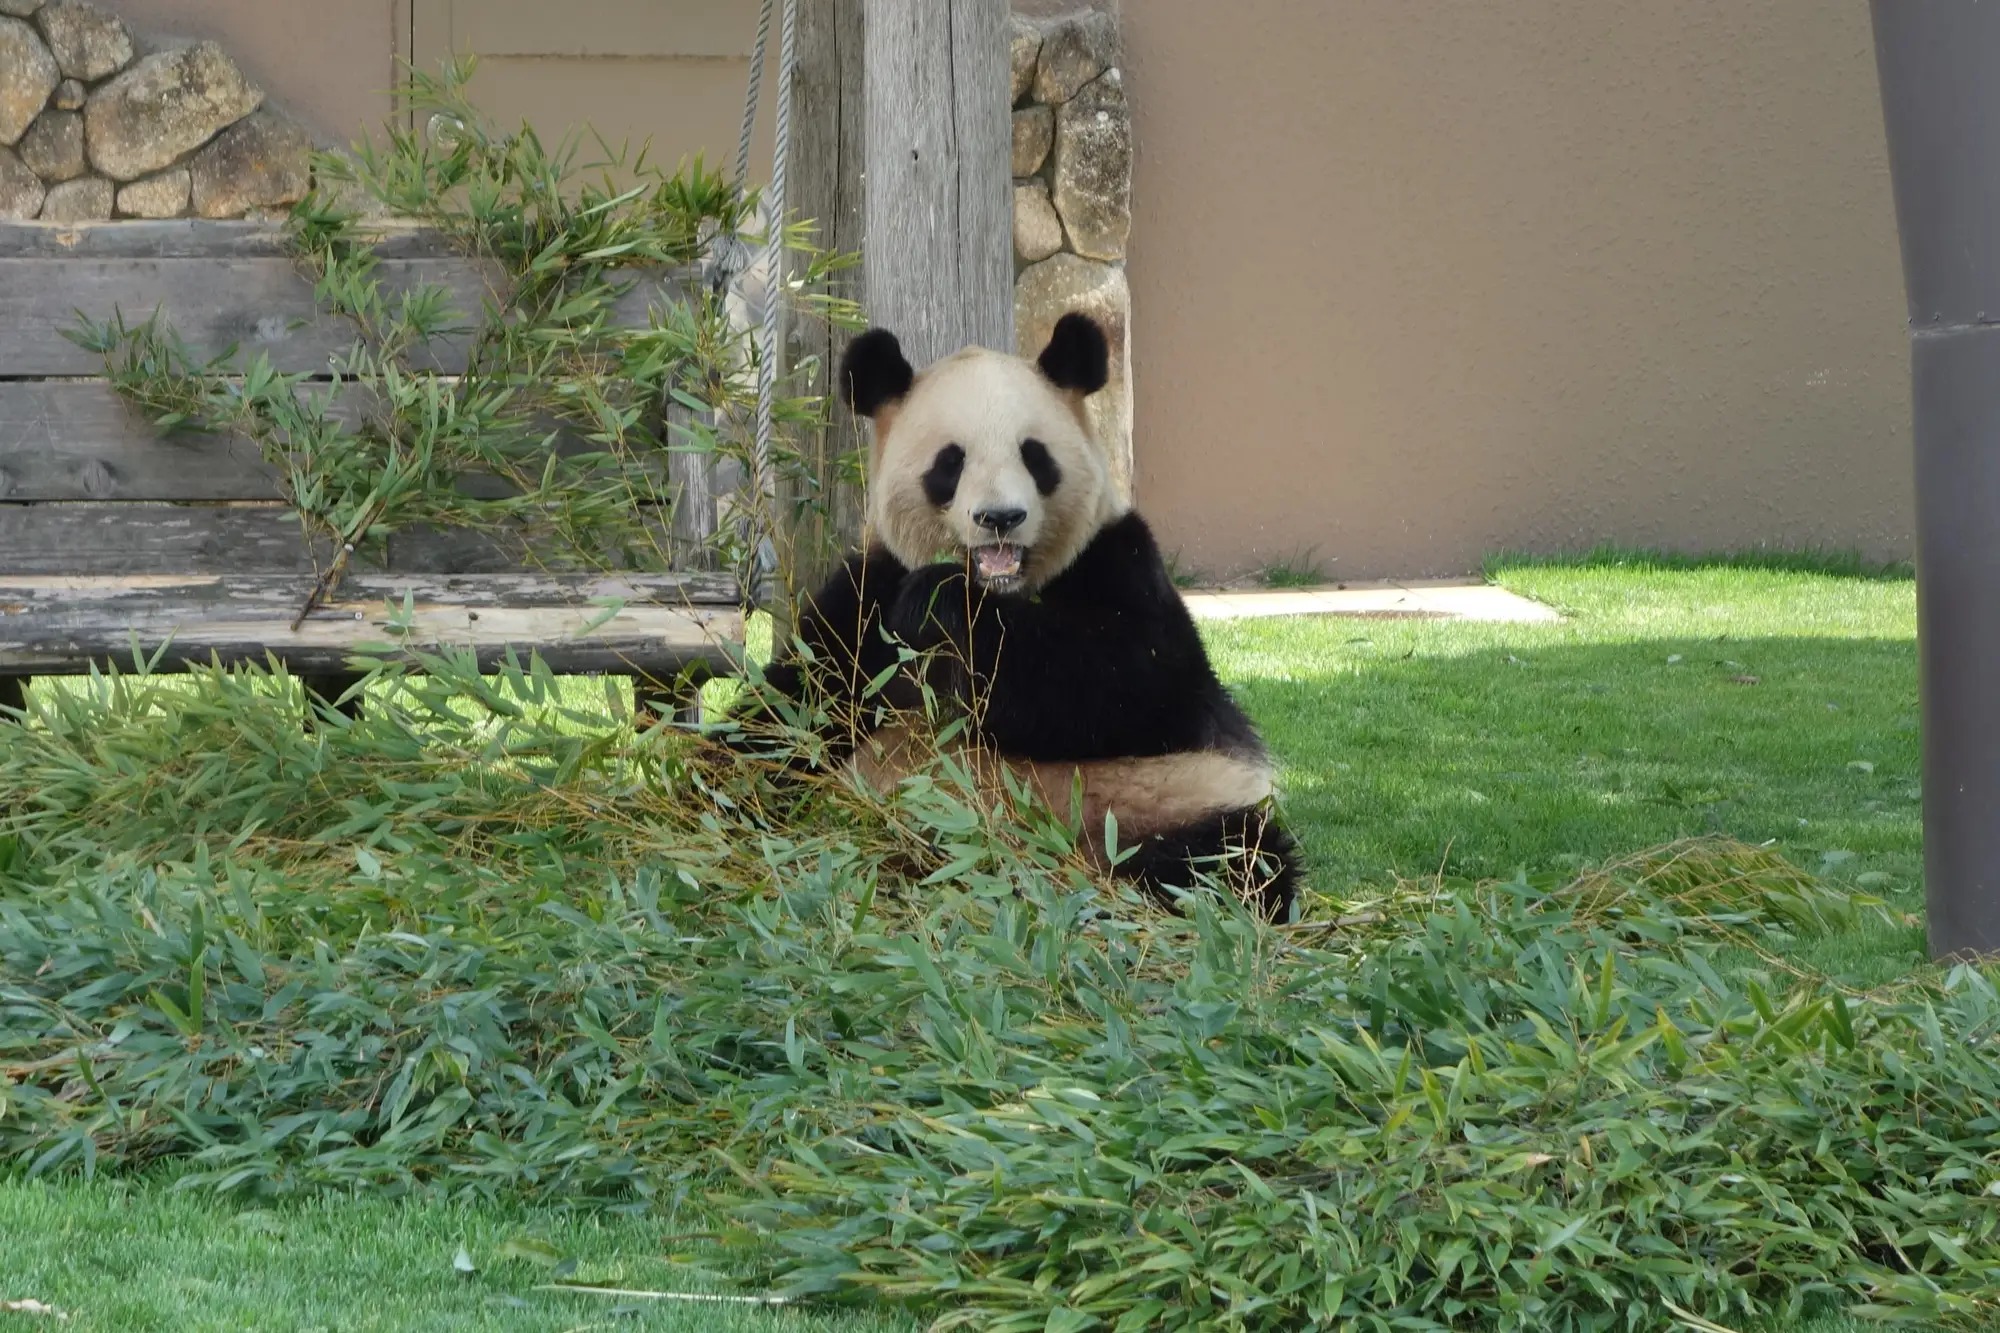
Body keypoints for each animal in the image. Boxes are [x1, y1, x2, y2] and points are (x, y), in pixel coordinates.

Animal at [738, 310, 1300, 921]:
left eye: (1034, 455)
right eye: (951, 461)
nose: (999, 517)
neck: (1000, 585)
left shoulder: (1116, 562)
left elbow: (1124, 681)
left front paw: (939, 604)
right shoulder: (865, 599)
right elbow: (793, 707)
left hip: (1164, 804)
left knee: (1229, 861)